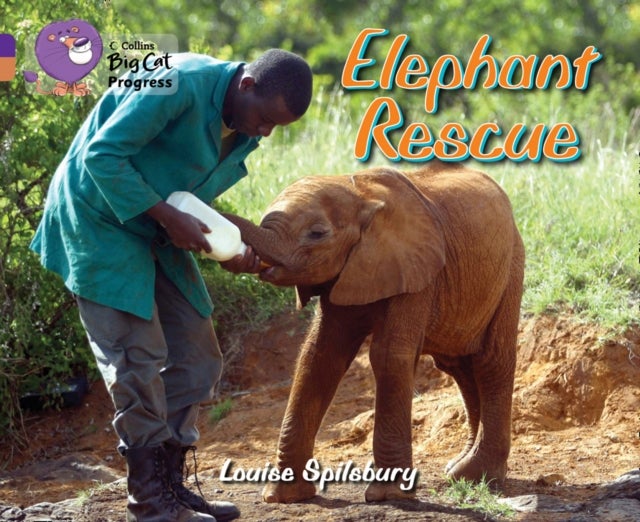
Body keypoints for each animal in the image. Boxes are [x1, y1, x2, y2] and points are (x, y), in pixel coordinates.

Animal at [225, 161, 525, 503]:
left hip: (511, 266)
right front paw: (283, 497)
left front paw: (389, 496)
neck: (360, 195)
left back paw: (477, 475)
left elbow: (388, 356)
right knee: (460, 366)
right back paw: (460, 470)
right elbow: (318, 357)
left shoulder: (417, 270)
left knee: (490, 361)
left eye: (317, 234)